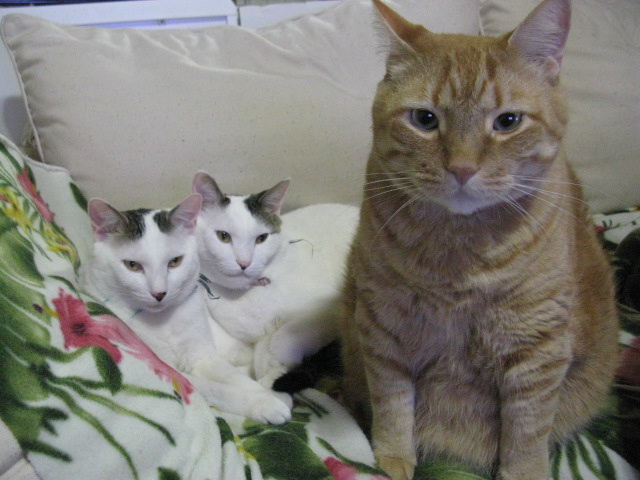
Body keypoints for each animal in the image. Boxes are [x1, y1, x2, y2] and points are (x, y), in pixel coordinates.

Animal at [81, 194, 292, 424]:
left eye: (175, 261)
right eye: (132, 265)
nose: (159, 293)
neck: (165, 321)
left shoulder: (204, 356)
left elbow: (235, 378)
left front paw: (273, 395)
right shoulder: (174, 373)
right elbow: (219, 390)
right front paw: (265, 404)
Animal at [193, 172, 358, 388]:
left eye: (261, 238)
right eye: (223, 236)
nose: (244, 262)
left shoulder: (333, 306)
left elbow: (279, 340)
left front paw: (277, 370)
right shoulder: (254, 338)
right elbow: (257, 355)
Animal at [338, 1, 619, 480]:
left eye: (507, 122)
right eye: (425, 119)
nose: (463, 168)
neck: (459, 252)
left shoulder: (537, 348)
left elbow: (527, 430)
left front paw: (522, 473)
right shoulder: (383, 326)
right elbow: (392, 403)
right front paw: (392, 460)